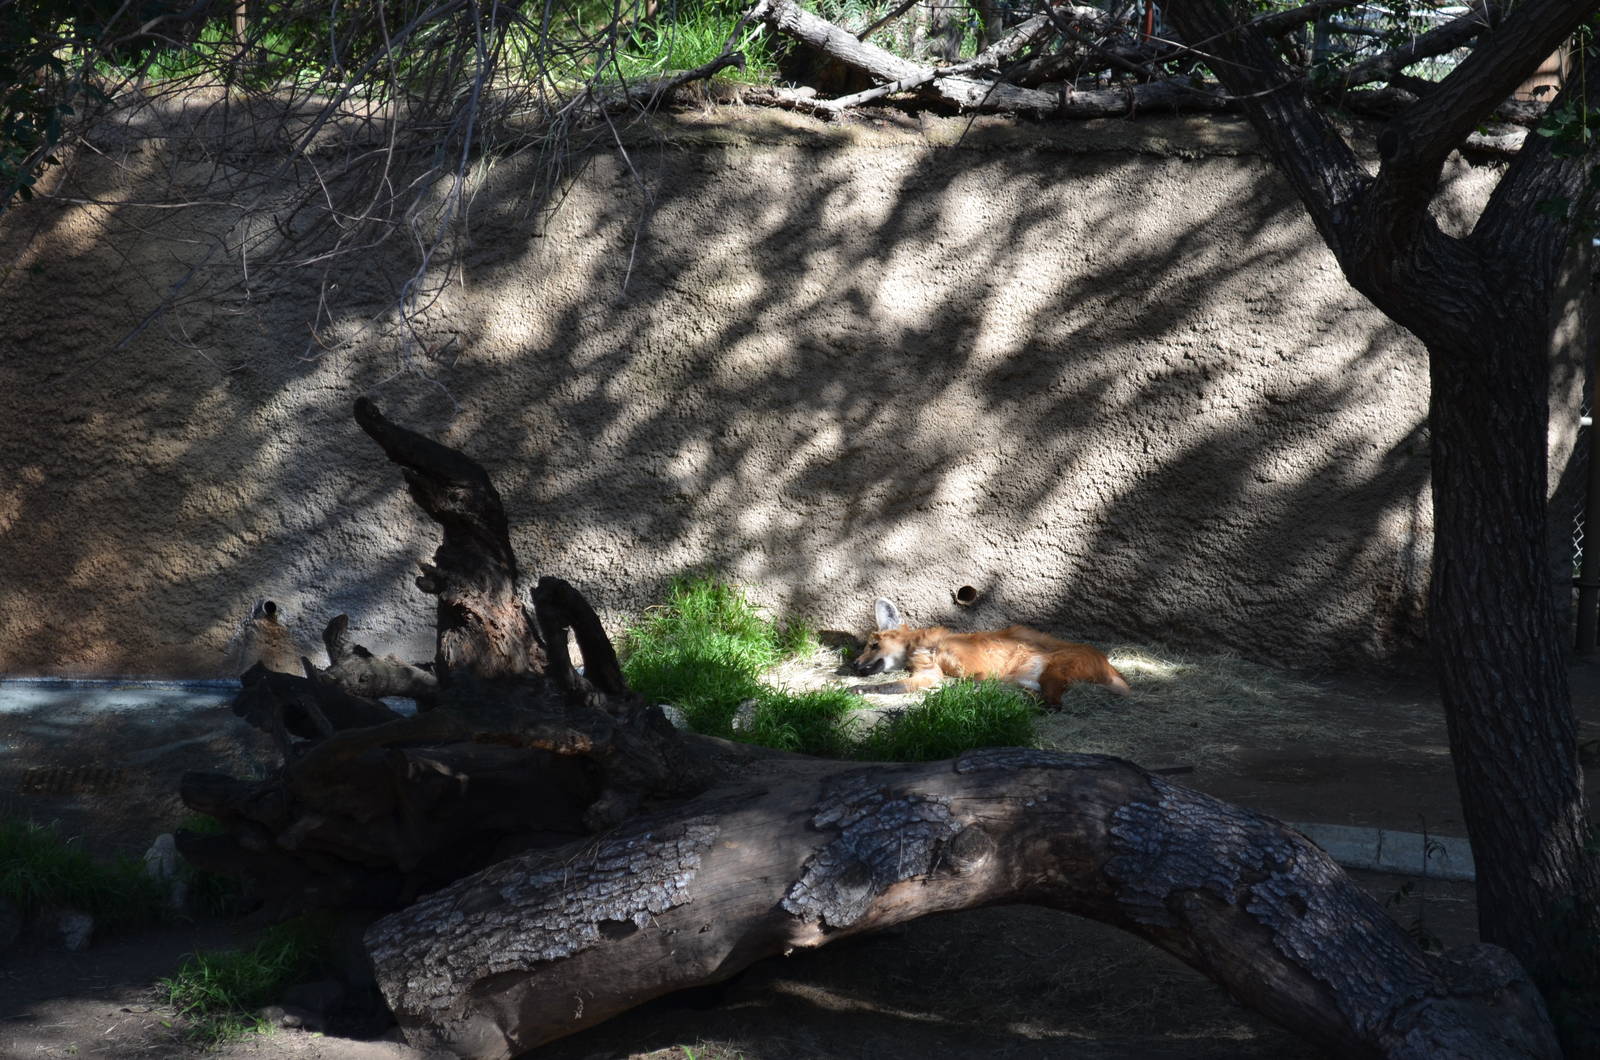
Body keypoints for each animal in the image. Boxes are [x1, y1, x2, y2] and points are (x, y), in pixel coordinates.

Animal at [854, 598, 1129, 703]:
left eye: (873, 646)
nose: (854, 665)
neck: (928, 645)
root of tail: (1110, 665)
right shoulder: (929, 674)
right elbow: (894, 685)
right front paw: (858, 689)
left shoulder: (975, 669)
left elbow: (967, 681)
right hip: (1028, 679)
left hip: (1052, 669)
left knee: (1054, 704)